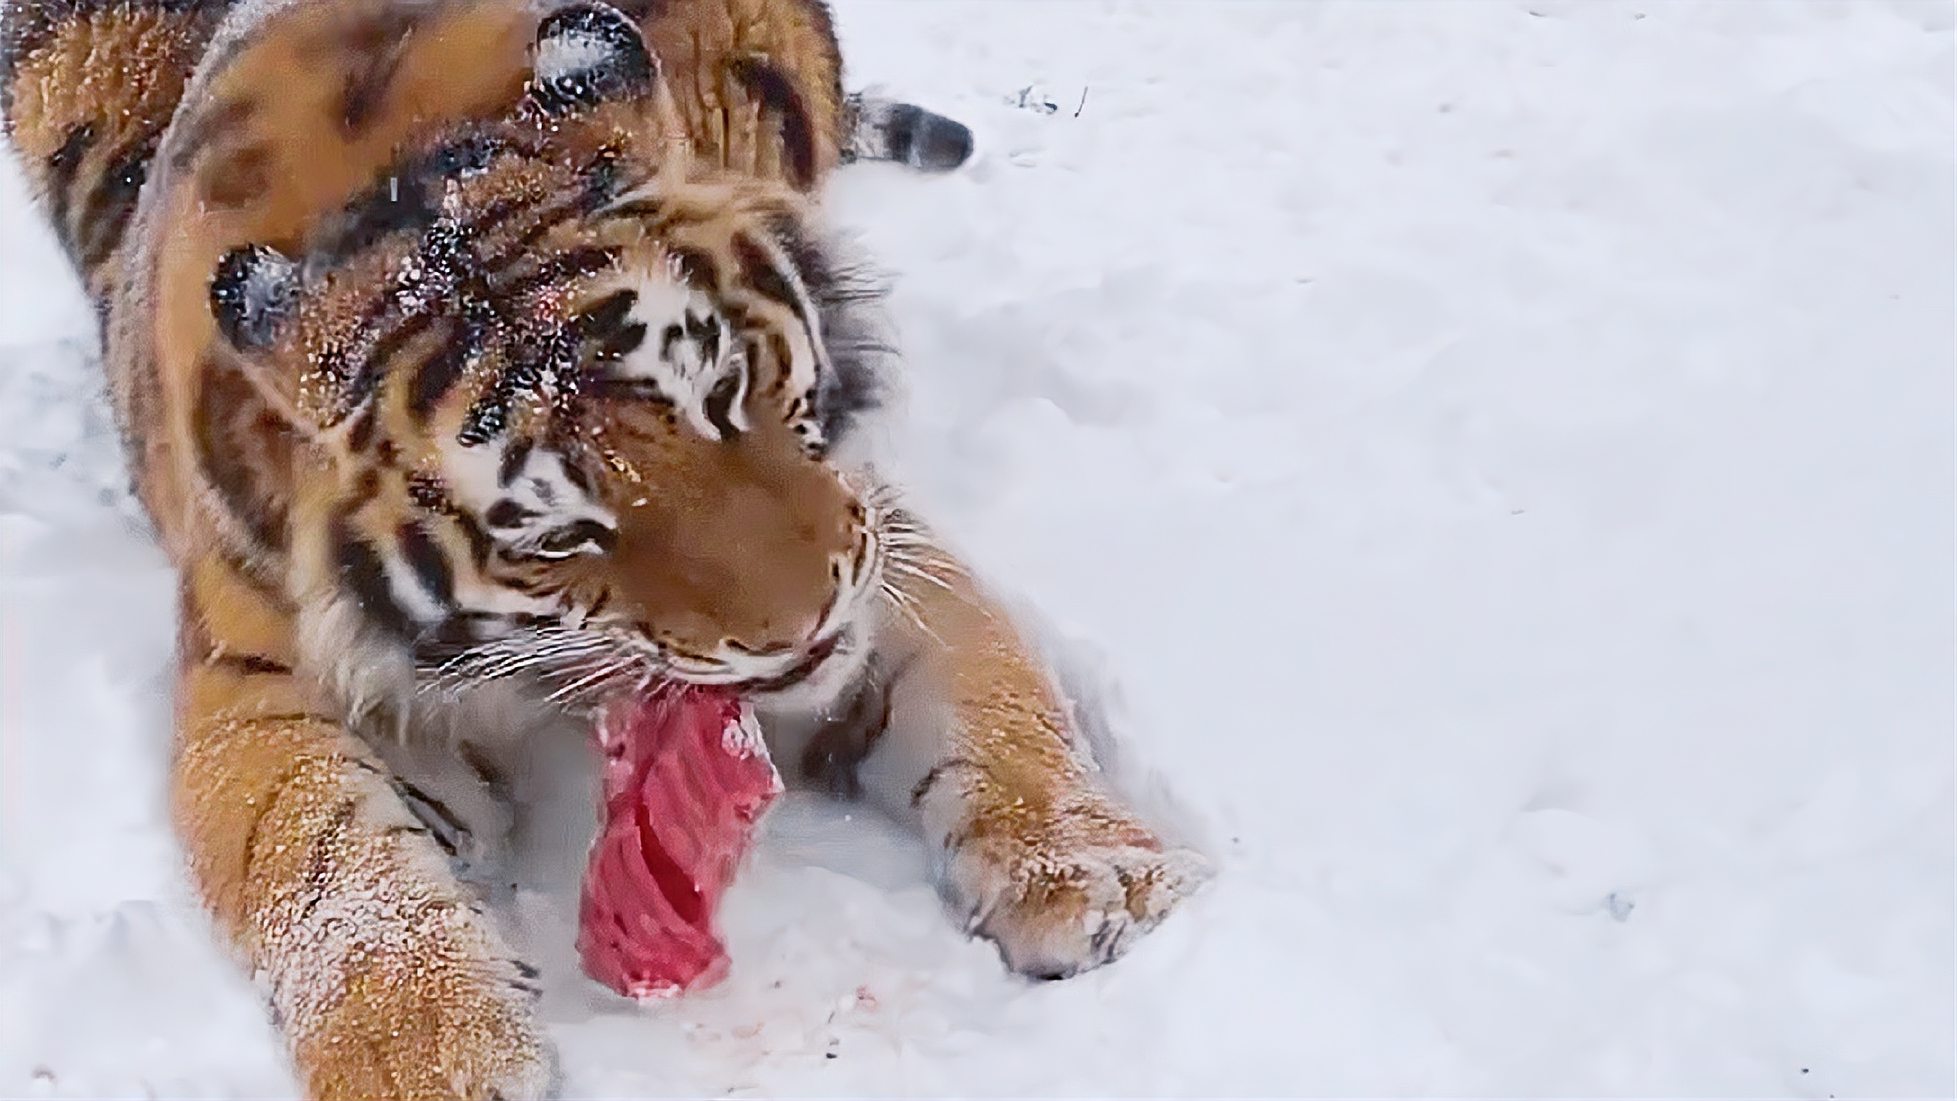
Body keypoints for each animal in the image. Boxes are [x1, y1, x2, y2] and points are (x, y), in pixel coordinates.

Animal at [3, 0, 1205, 1095]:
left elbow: (997, 710)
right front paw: (430, 1056)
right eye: (562, 534)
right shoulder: (259, 683)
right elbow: (328, 866)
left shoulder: (881, 551)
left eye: (725, 390)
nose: (800, 626)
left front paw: (1093, 877)